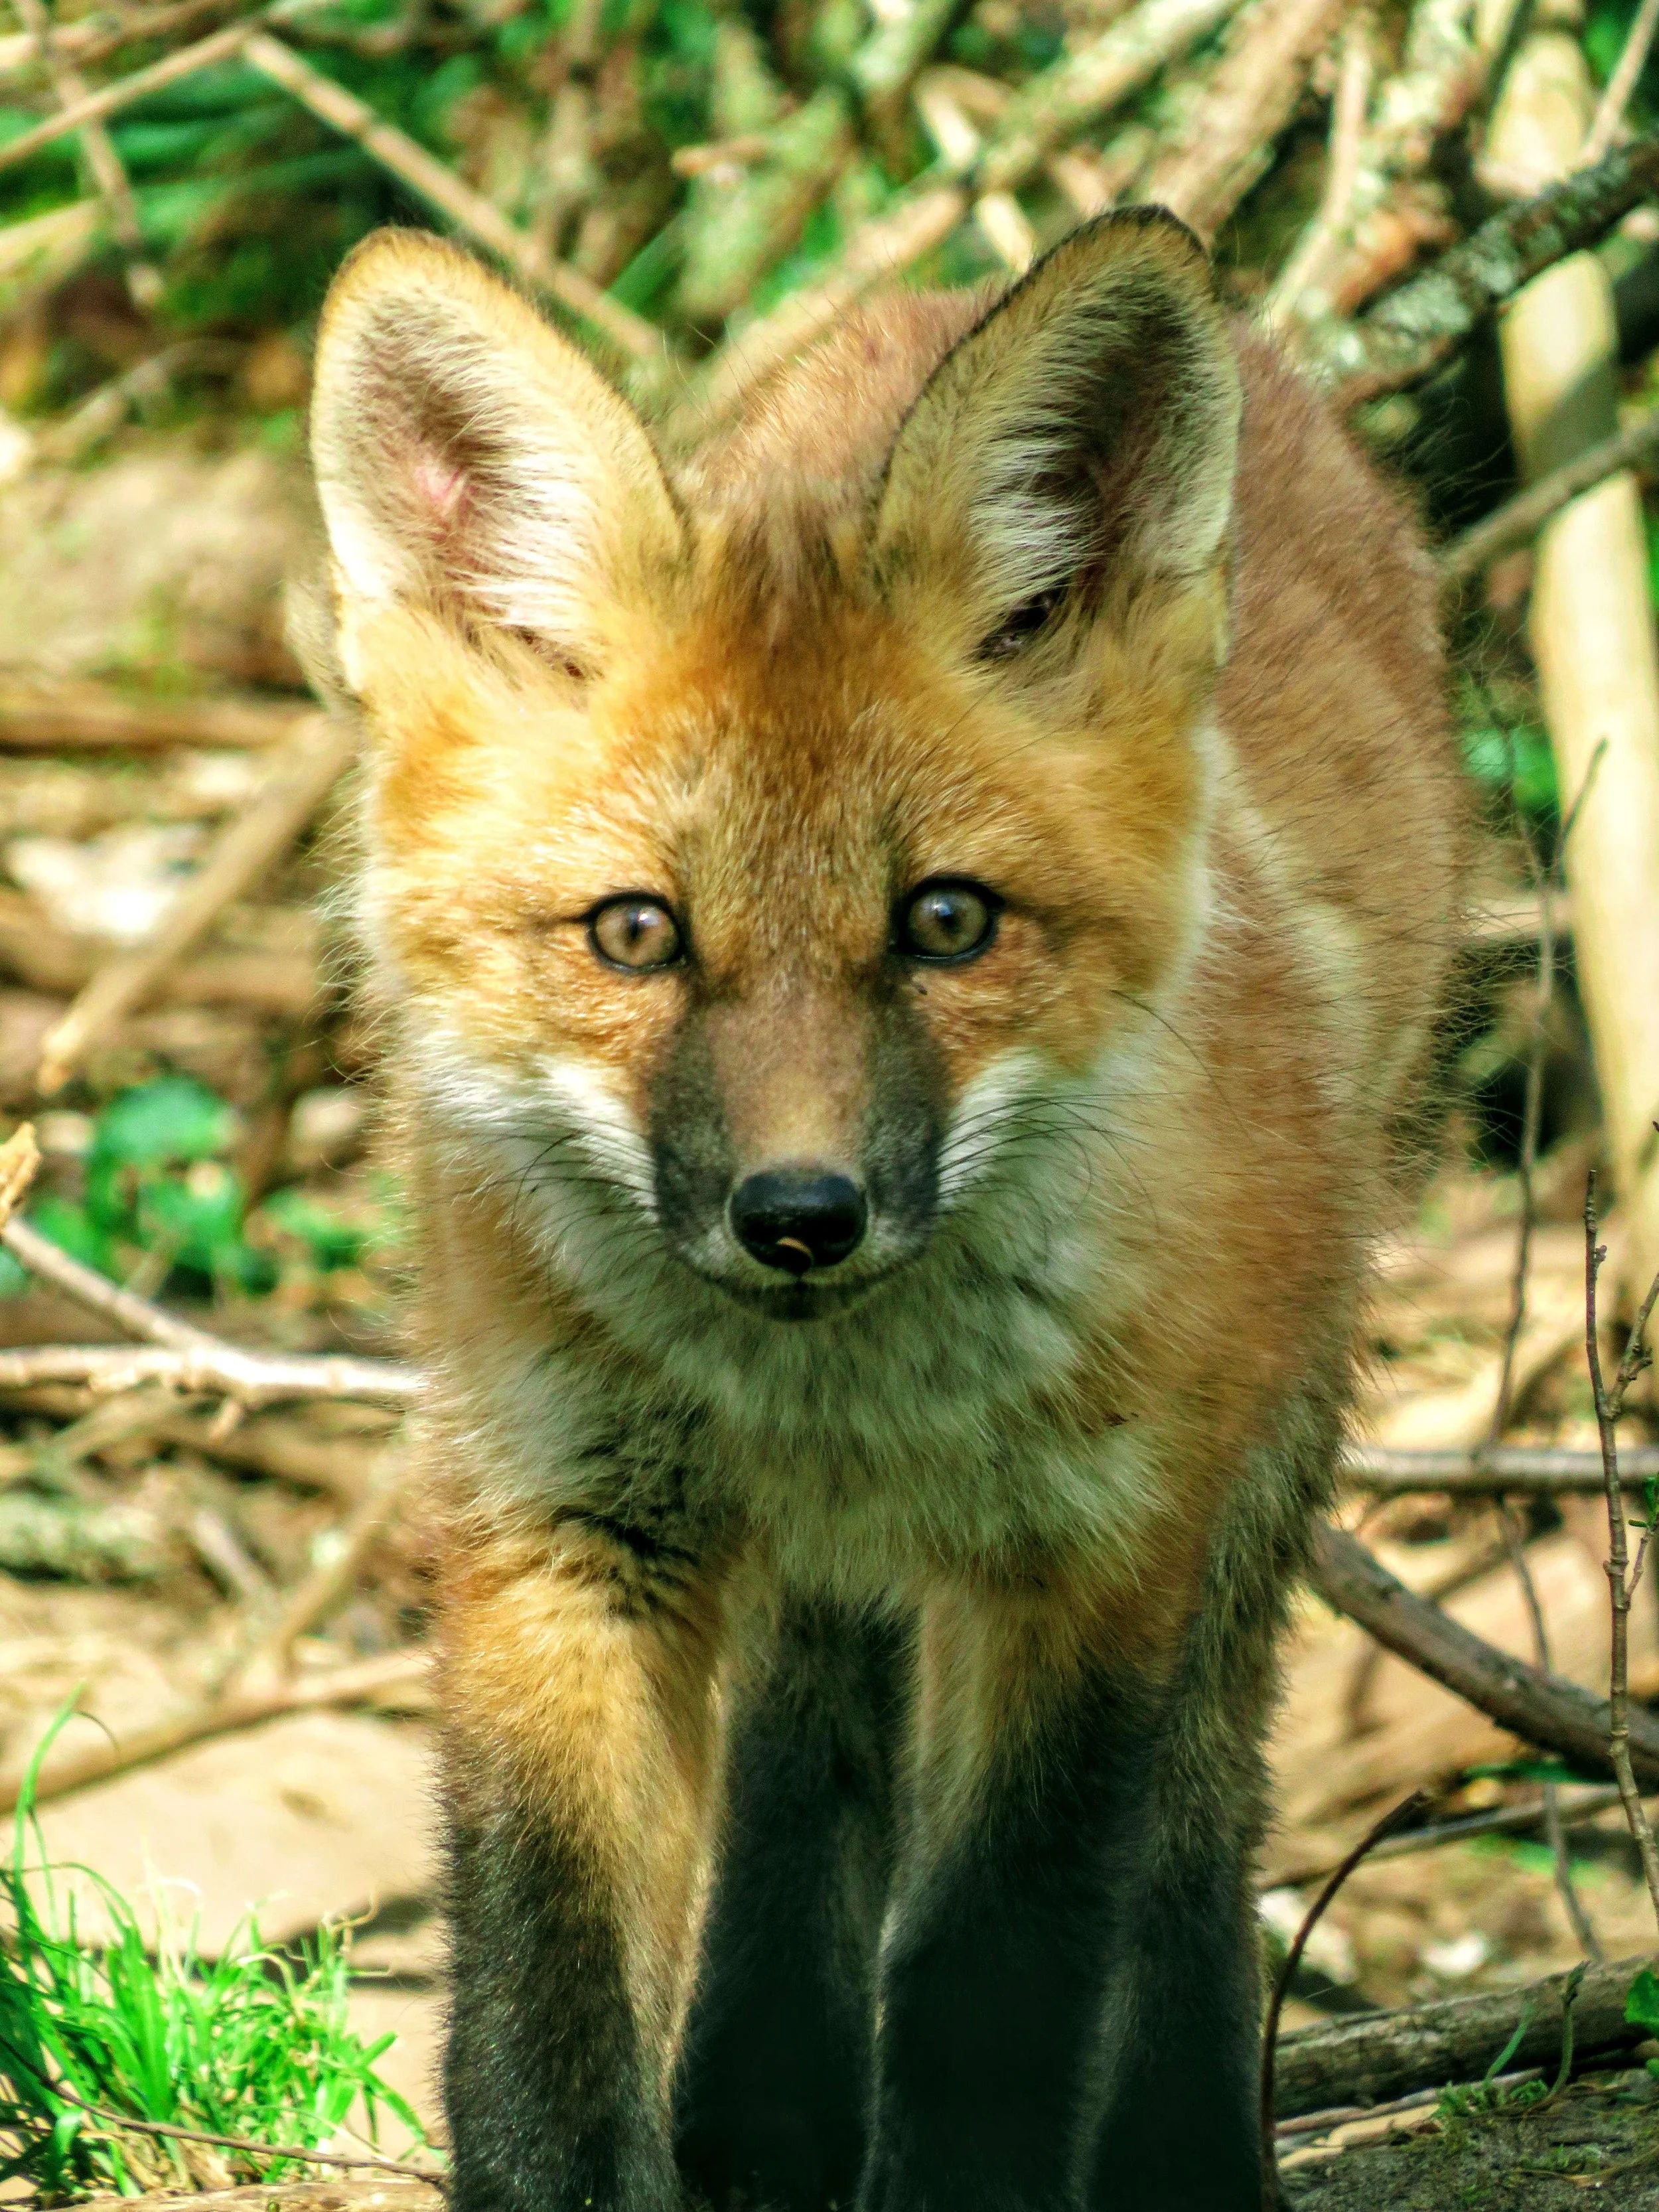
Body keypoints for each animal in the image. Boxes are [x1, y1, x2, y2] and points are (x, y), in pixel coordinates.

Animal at [306, 209, 1461, 2212]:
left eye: (944, 923)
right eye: (636, 932)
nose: (799, 1215)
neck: (829, 1398)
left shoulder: (1084, 1561)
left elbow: (991, 1981)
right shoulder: (563, 1529)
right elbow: (542, 1997)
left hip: (1259, 1457)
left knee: (1196, 1816)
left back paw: (1181, 2148)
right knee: (809, 1752)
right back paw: (765, 2120)